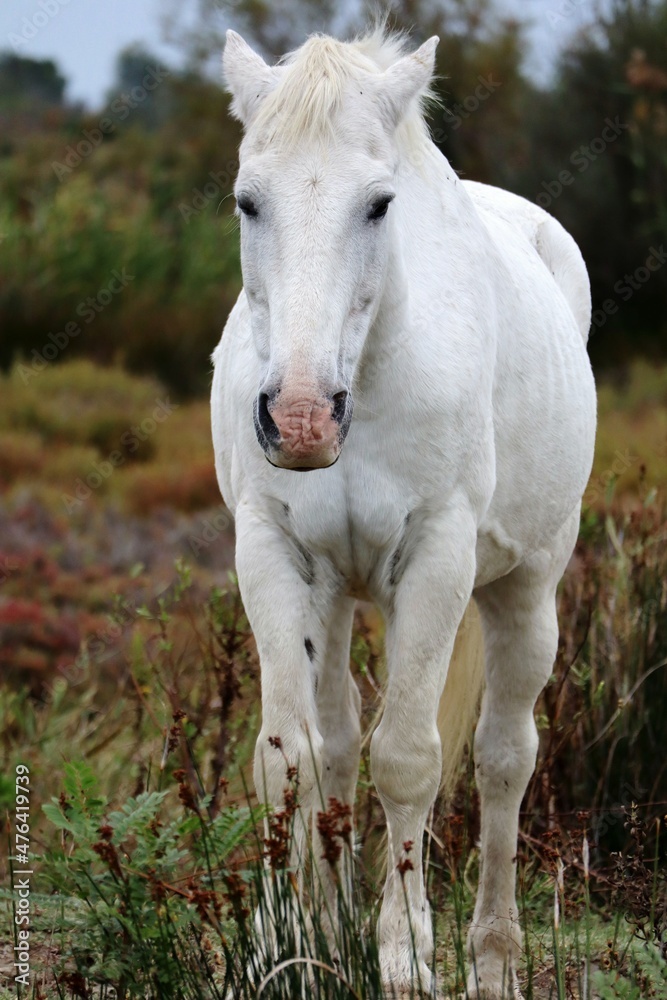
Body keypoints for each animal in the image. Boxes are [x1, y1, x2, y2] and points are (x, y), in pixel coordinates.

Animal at [211, 27, 596, 996]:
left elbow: (410, 759)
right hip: (341, 595)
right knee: (340, 743)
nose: (300, 418)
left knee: (502, 758)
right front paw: (285, 946)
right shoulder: (271, 555)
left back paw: (493, 959)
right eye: (247, 201)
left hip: (524, 590)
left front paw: (404, 954)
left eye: (380, 205)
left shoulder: (436, 561)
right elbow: (290, 754)